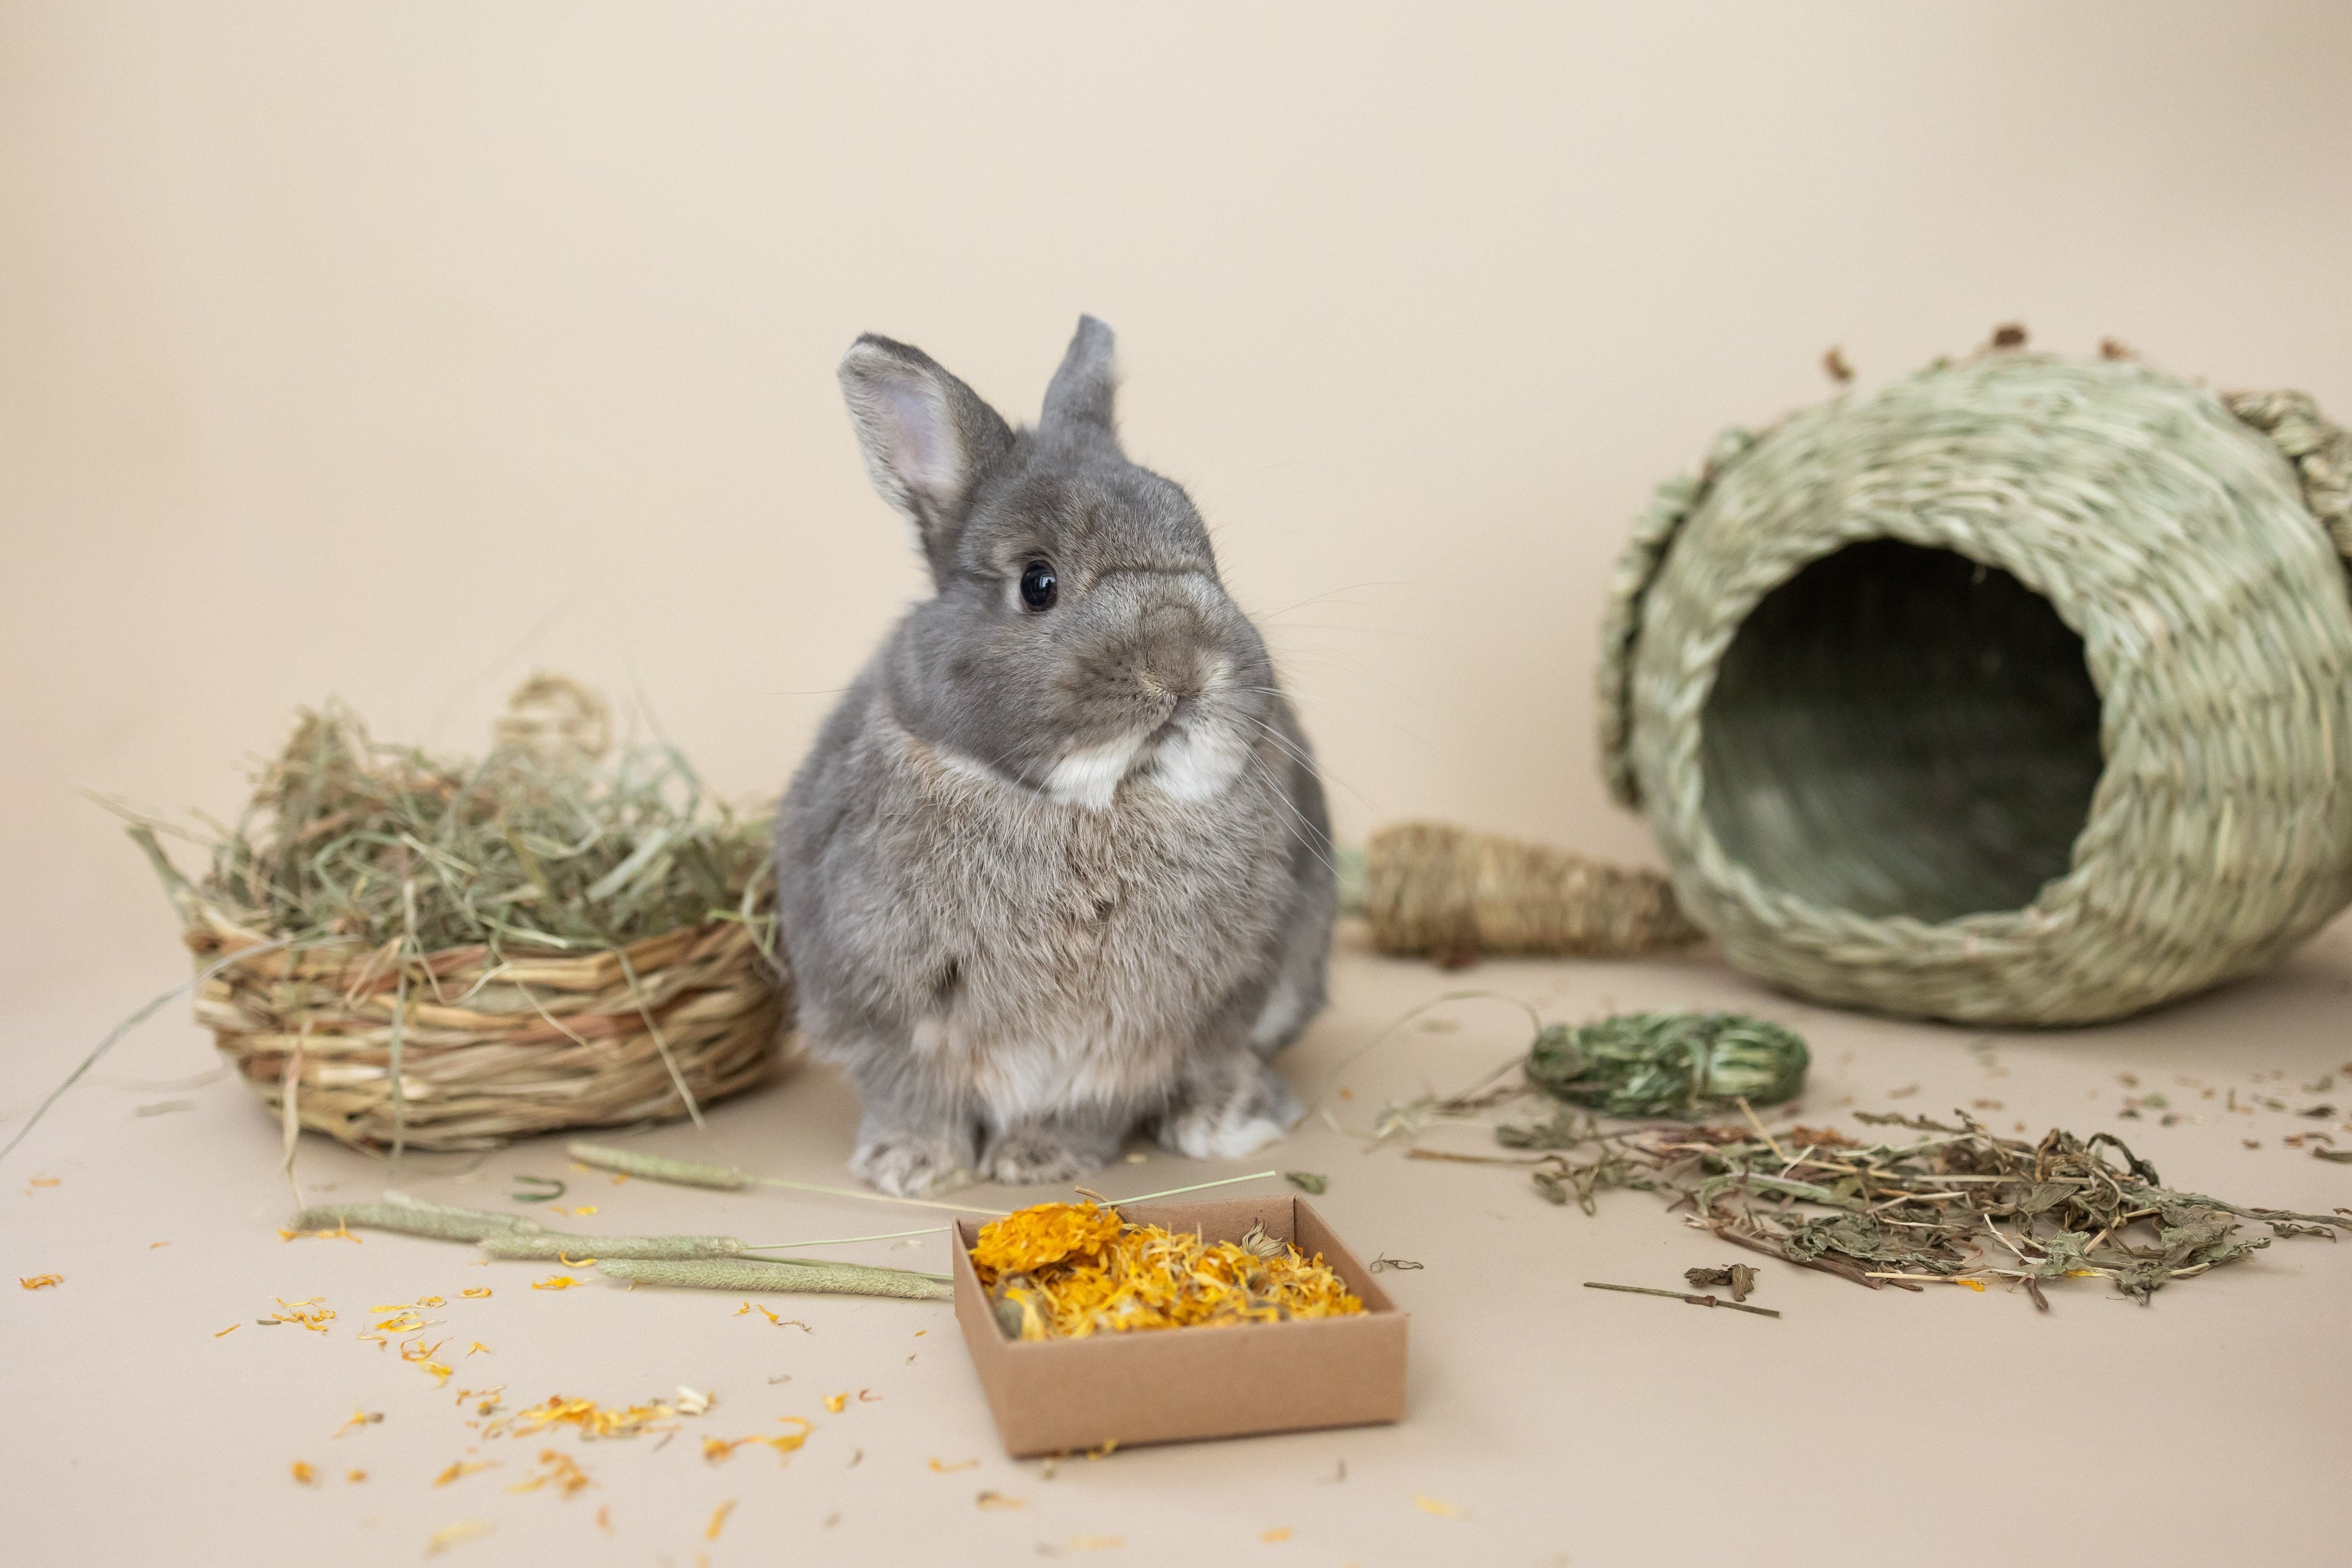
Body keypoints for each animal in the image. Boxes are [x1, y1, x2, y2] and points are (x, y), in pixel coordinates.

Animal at [776, 315, 1336, 1196]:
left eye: (1205, 552)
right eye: (1037, 582)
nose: (1182, 665)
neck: (1082, 804)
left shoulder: (1135, 1036)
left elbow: (1091, 1102)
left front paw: (1041, 1160)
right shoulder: (884, 1014)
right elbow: (912, 1093)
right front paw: (909, 1165)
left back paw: (1223, 1120)